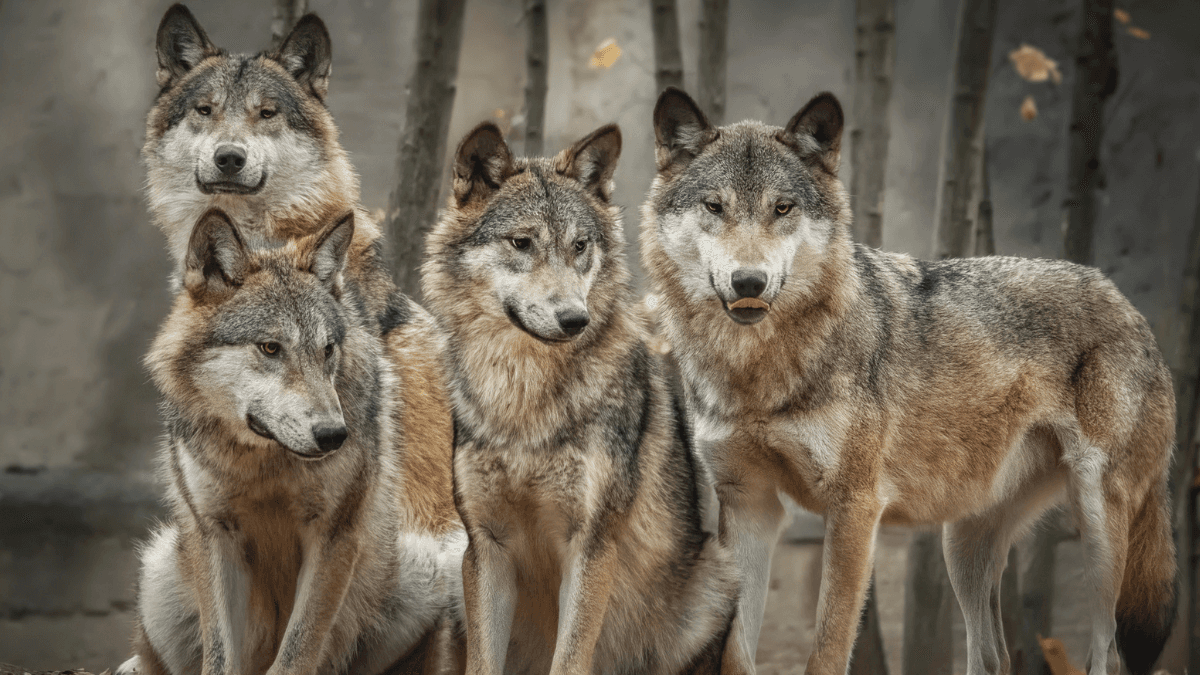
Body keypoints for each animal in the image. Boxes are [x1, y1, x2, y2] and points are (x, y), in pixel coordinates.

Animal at [118, 210, 466, 675]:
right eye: (270, 348)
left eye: (327, 349)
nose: (334, 434)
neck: (264, 462)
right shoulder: (212, 533)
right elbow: (218, 655)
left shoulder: (335, 534)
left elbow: (297, 651)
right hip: (158, 568)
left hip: (424, 566)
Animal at [421, 122, 755, 675]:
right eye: (522, 242)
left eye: (579, 246)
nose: (575, 319)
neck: (524, 401)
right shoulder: (486, 547)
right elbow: (483, 665)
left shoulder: (592, 547)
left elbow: (571, 659)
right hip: (450, 575)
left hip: (716, 580)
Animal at [641, 87, 1177, 675]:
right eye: (714, 206)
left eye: (782, 208)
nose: (749, 282)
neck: (756, 372)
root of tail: (1127, 303)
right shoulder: (748, 504)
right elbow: (734, 653)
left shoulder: (854, 507)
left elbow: (827, 648)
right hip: (961, 545)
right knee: (992, 658)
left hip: (1098, 530)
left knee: (1108, 654)